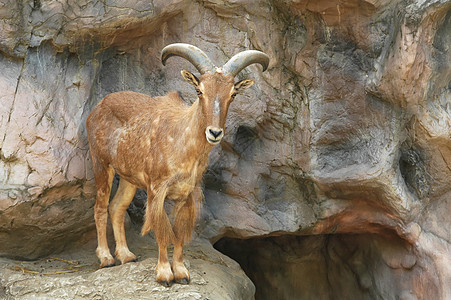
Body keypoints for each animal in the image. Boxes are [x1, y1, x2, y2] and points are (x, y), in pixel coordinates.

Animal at [85, 42, 268, 286]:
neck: (183, 143)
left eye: (233, 94)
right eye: (200, 91)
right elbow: (163, 232)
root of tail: (98, 107)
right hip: (101, 163)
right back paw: (106, 258)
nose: (215, 132)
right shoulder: (156, 190)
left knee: (117, 207)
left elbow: (179, 234)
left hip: (128, 177)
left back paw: (126, 255)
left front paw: (181, 272)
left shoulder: (187, 194)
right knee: (100, 207)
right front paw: (164, 274)